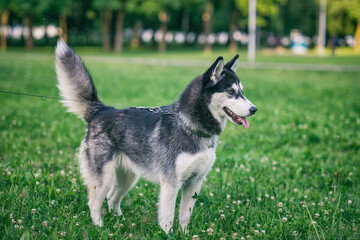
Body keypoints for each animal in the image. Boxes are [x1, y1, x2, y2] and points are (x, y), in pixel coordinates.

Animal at [54, 39, 256, 232]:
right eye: (231, 91)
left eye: (242, 90)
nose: (254, 109)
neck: (190, 127)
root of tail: (101, 110)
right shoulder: (171, 183)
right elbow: (168, 218)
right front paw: (168, 235)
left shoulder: (195, 182)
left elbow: (185, 216)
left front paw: (184, 234)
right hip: (104, 177)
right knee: (94, 203)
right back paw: (99, 227)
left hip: (128, 177)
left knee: (112, 198)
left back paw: (120, 221)